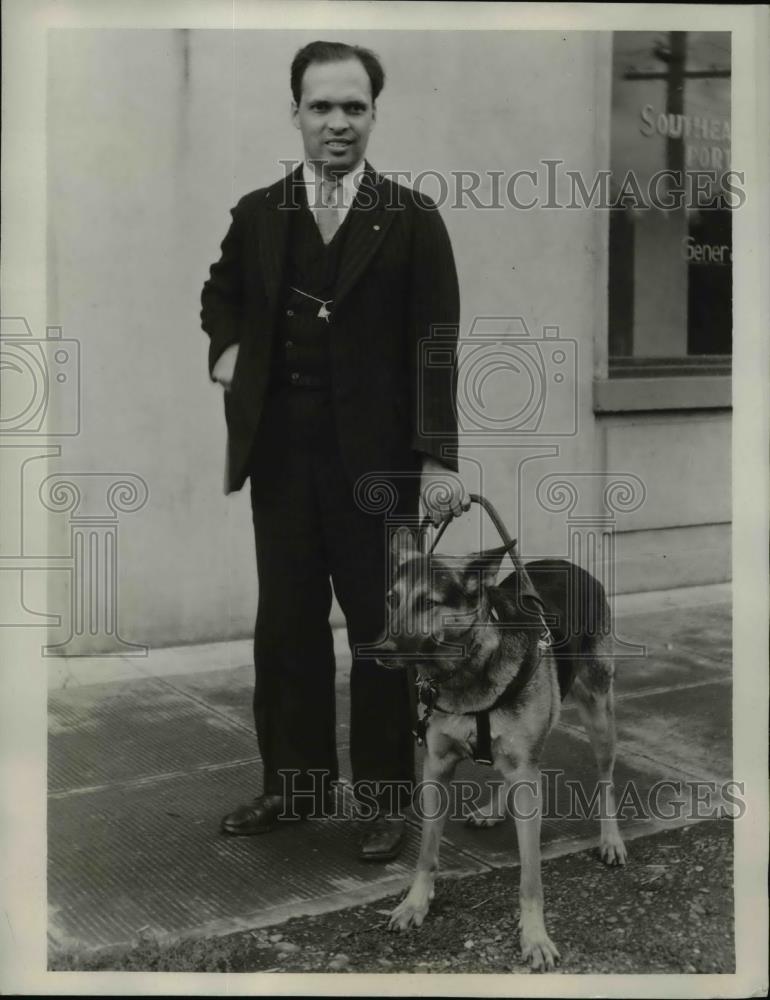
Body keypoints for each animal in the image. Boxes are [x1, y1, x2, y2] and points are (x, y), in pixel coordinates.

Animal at [376, 532, 624, 968]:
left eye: (428, 602)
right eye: (392, 599)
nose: (382, 649)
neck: (468, 667)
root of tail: (571, 565)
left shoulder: (525, 772)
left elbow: (531, 877)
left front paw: (535, 936)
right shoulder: (436, 767)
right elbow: (426, 853)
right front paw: (414, 904)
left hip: (597, 713)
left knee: (605, 778)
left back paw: (611, 839)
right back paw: (493, 809)